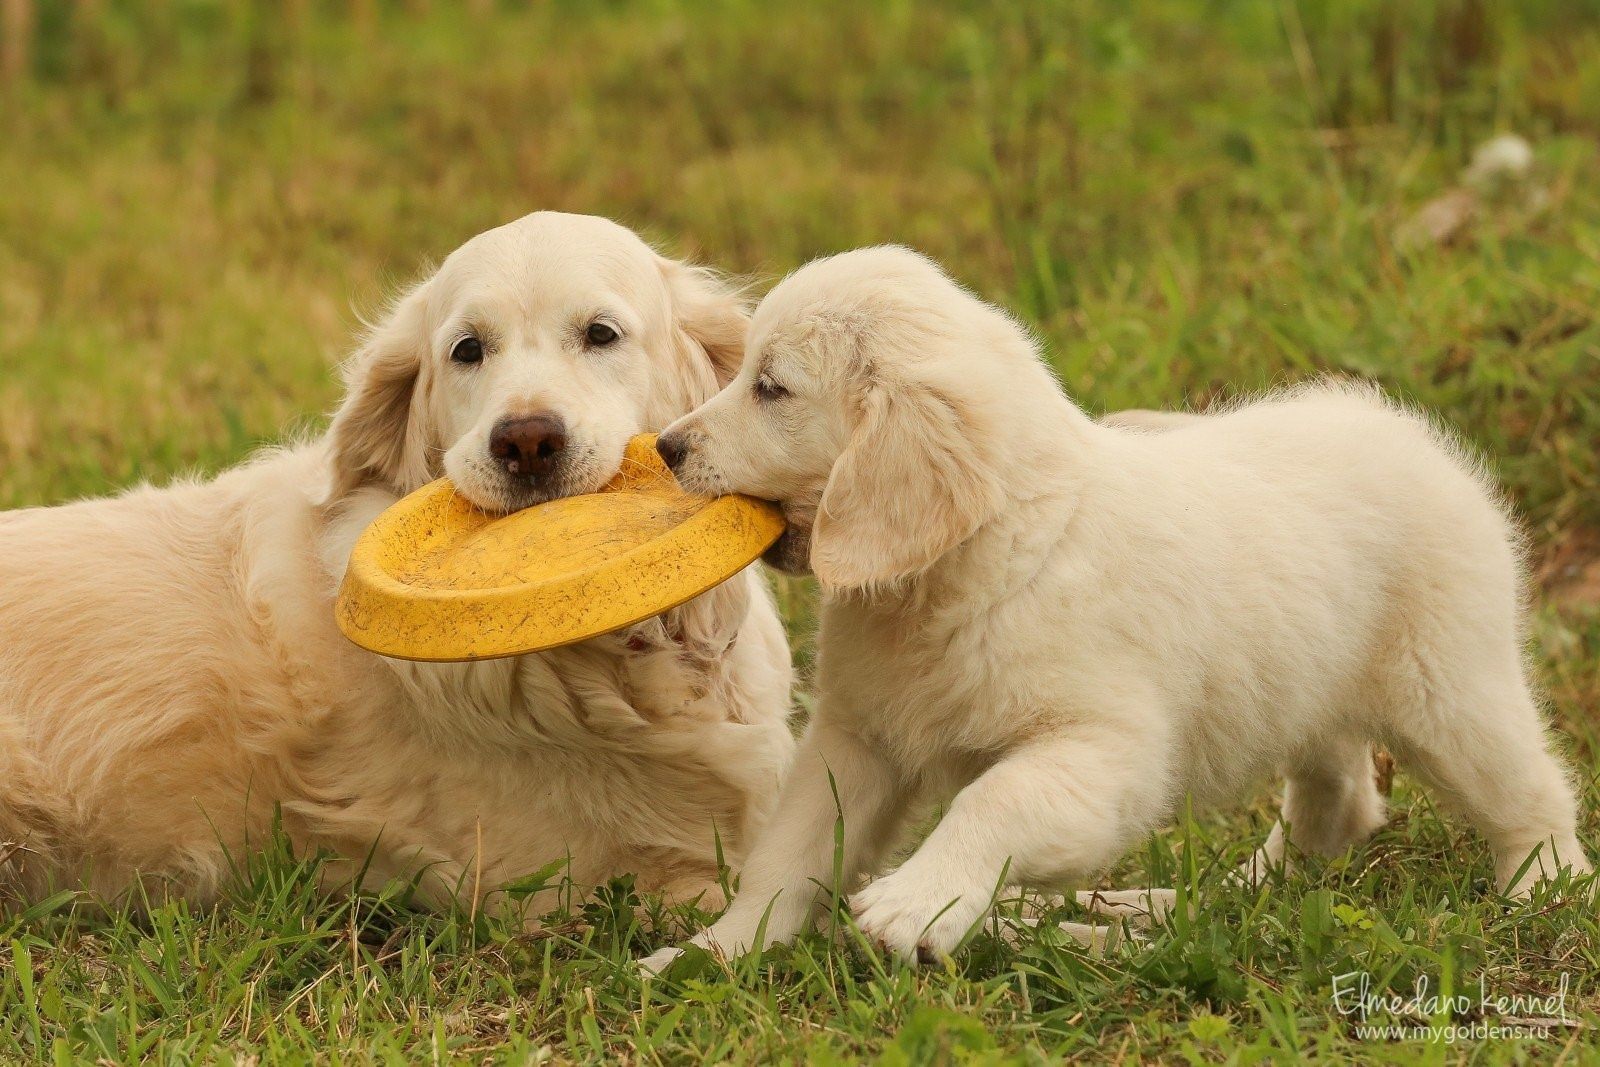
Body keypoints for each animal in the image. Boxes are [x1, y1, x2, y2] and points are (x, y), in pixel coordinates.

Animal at [643, 247, 1593, 966]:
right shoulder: (859, 737)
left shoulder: (1105, 750)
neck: (979, 565)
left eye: (772, 387)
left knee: (1531, 792)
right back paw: (1200, 900)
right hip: (1309, 691)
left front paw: (917, 902)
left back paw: (1540, 887)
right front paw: (715, 952)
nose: (667, 447)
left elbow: (993, 799)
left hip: (1449, 688)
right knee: (1340, 808)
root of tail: (1409, 431)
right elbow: (792, 851)